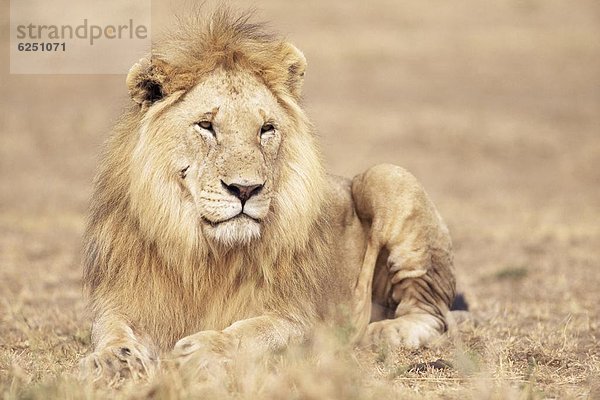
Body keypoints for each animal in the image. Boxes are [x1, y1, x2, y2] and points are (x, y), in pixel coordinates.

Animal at [78, 10, 454, 382]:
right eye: (206, 126)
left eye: (266, 129)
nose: (245, 189)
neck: (206, 256)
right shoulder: (125, 297)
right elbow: (109, 328)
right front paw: (112, 360)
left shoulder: (301, 318)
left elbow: (255, 332)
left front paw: (205, 349)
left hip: (389, 177)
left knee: (432, 312)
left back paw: (386, 331)